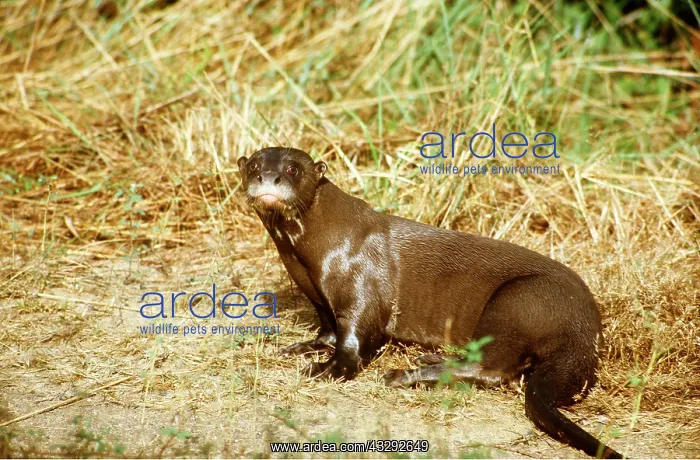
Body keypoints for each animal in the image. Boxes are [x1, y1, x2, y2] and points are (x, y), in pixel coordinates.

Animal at [237, 146, 623, 459]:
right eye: (253, 164)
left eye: (292, 168)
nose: (266, 177)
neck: (319, 248)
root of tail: (587, 326)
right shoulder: (315, 292)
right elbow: (328, 328)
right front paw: (299, 348)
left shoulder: (361, 280)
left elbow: (357, 336)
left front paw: (326, 369)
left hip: (518, 302)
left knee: (494, 369)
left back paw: (404, 376)